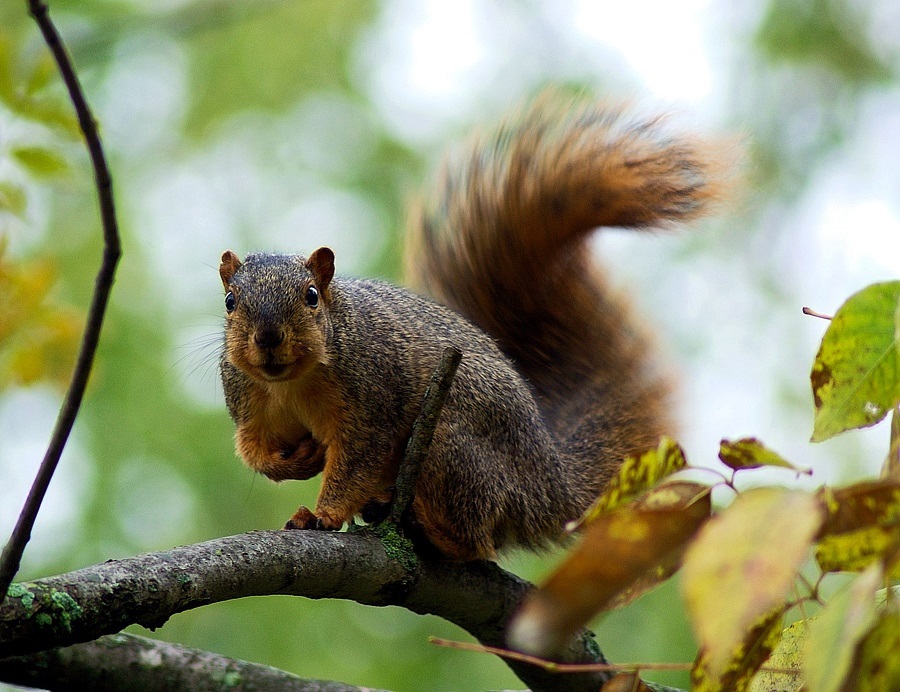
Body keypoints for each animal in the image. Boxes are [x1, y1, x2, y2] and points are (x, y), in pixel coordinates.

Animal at [220, 92, 732, 564]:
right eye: (230, 301)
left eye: (311, 295)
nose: (268, 337)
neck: (291, 383)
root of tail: (550, 487)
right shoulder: (248, 400)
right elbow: (250, 449)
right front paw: (292, 462)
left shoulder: (373, 400)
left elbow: (357, 461)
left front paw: (322, 515)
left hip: (453, 441)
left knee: (478, 541)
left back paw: (431, 529)